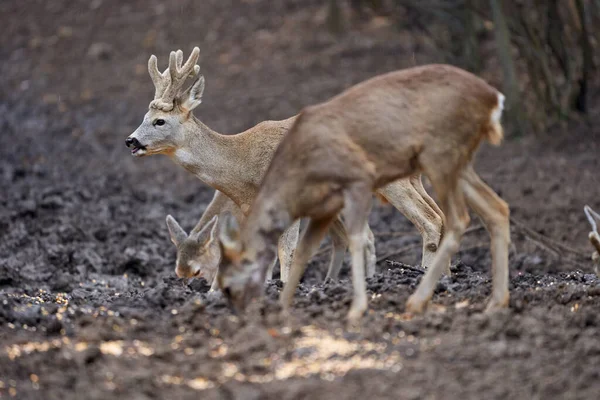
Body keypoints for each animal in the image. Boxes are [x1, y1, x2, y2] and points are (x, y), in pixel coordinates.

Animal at [126, 47, 446, 288]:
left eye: (159, 121)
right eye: (143, 116)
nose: (131, 140)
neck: (242, 165)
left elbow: (286, 252)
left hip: (391, 181)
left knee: (429, 220)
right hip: (412, 178)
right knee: (442, 217)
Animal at [218, 65, 508, 322]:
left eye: (228, 284)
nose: (240, 311)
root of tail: (494, 98)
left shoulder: (356, 182)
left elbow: (354, 238)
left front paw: (357, 308)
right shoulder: (325, 208)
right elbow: (304, 250)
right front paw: (284, 306)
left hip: (437, 159)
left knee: (447, 218)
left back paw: (419, 296)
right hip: (456, 165)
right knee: (495, 209)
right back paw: (492, 302)